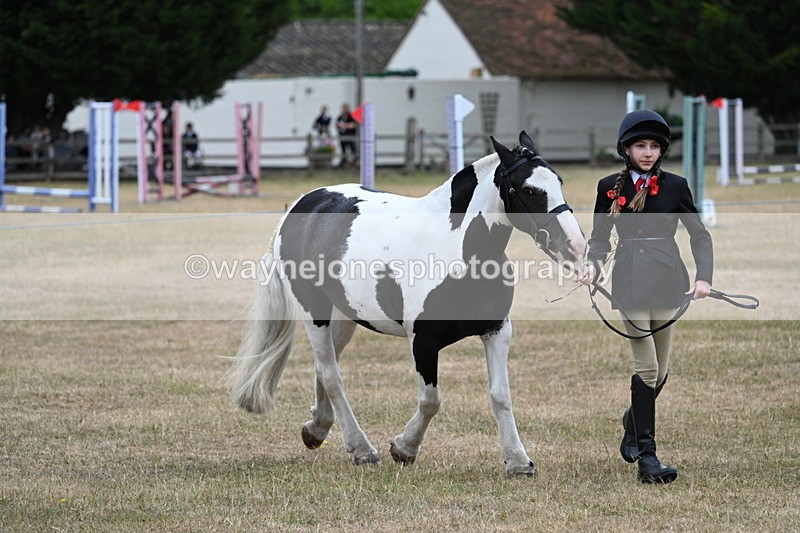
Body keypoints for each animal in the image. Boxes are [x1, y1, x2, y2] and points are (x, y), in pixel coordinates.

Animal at [229, 131, 586, 476]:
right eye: (529, 189)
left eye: (559, 182)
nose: (575, 245)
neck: (458, 251)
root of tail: (301, 207)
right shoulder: (423, 341)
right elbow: (430, 400)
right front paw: (404, 448)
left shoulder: (497, 331)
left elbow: (501, 396)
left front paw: (518, 461)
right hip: (313, 311)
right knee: (332, 375)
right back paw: (361, 449)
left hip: (344, 316)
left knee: (324, 367)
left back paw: (317, 429)